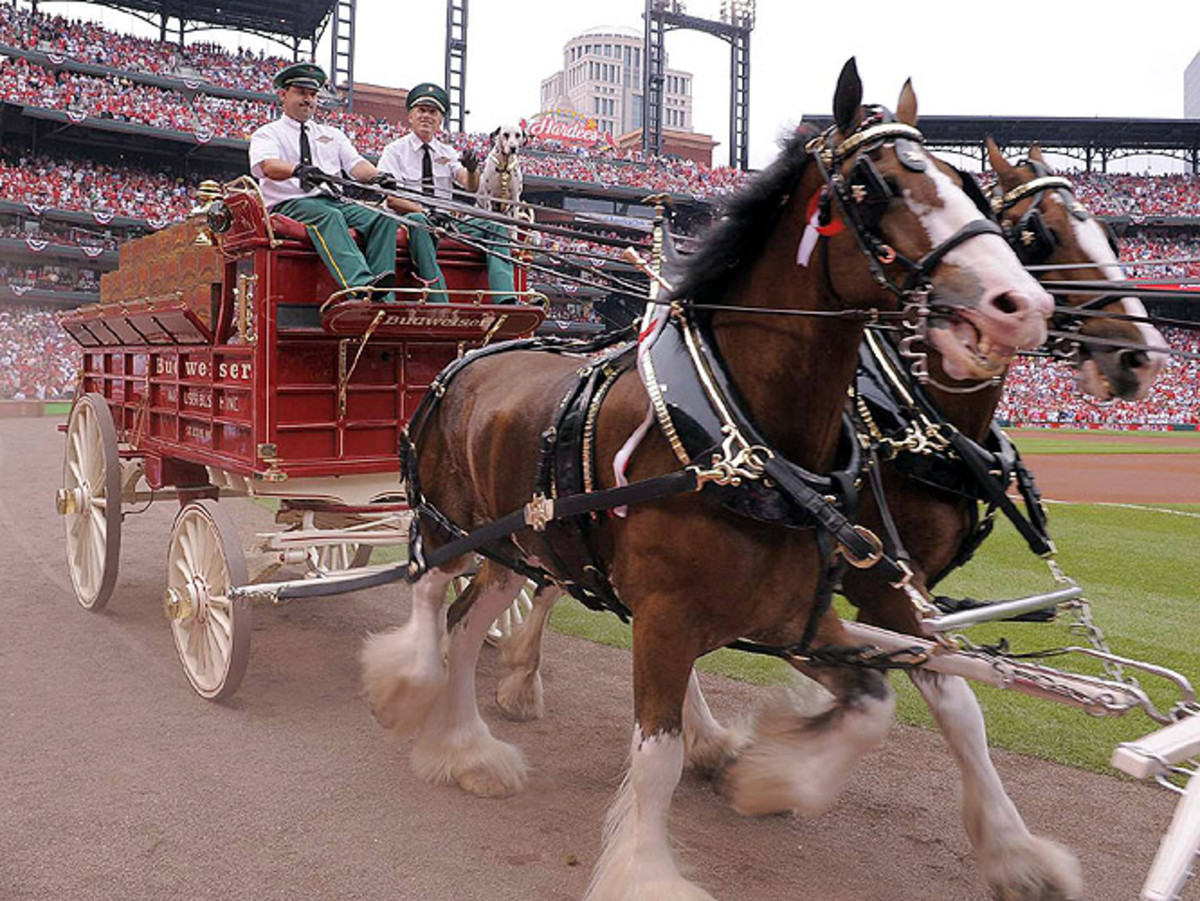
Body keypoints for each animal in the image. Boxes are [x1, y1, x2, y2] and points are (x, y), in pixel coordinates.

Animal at [357, 59, 1051, 897]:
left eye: (964, 183)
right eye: (875, 184)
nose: (1024, 304)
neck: (746, 437)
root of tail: (470, 356)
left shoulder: (809, 606)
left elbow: (891, 701)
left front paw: (774, 775)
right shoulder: (668, 615)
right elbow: (656, 756)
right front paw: (649, 868)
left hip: (519, 546)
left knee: (466, 623)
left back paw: (468, 750)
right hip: (451, 528)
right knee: (430, 598)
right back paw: (409, 683)